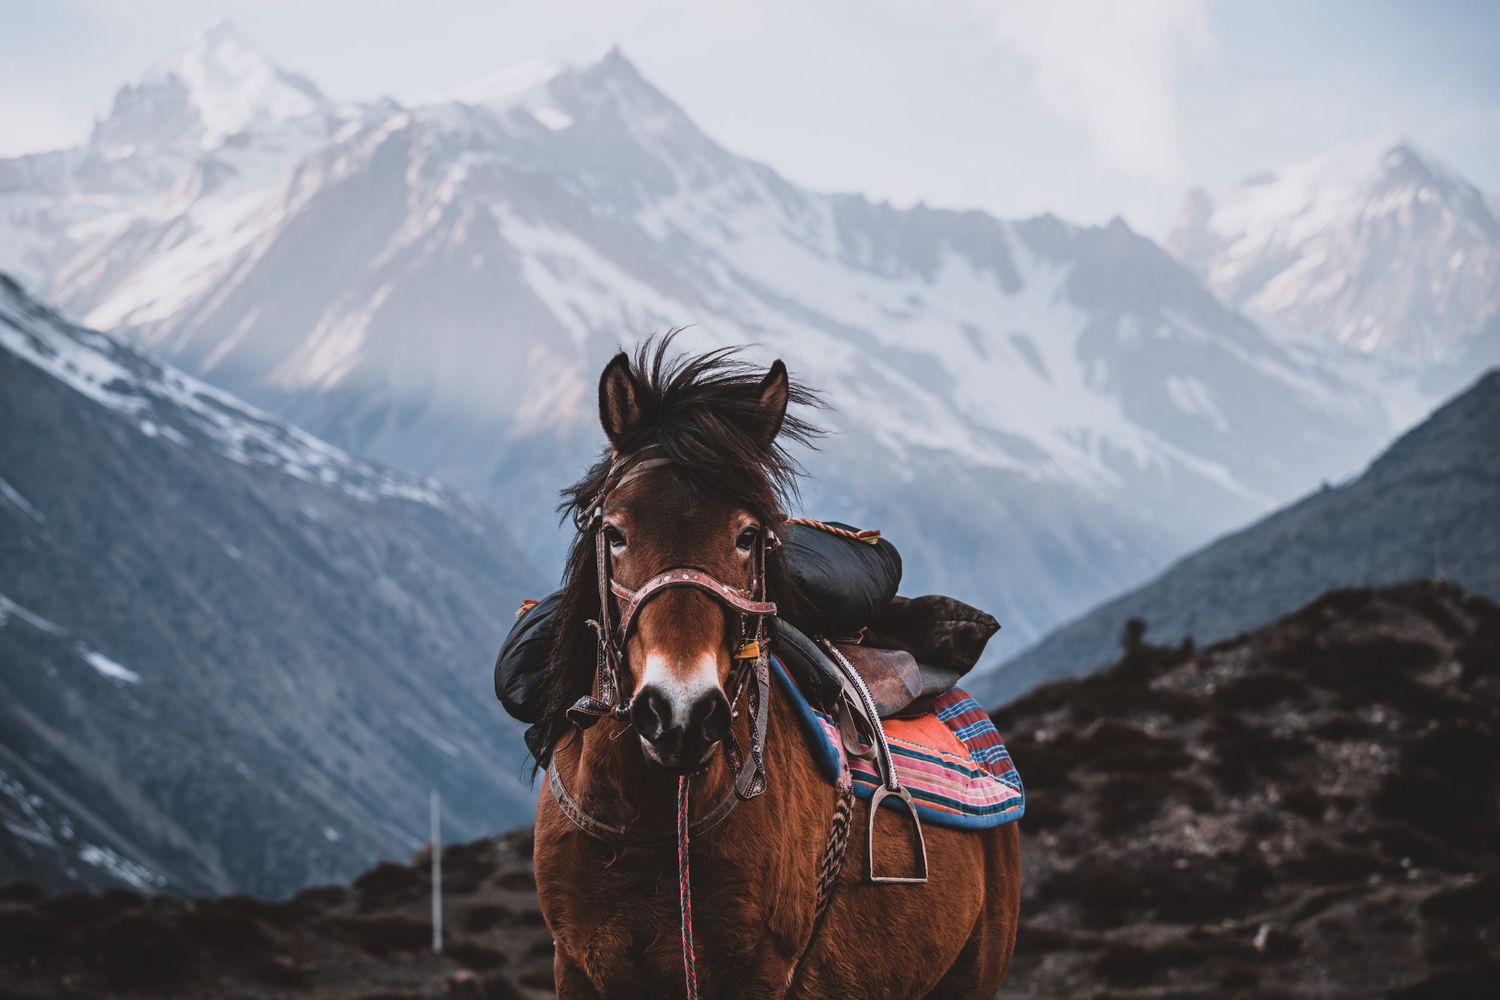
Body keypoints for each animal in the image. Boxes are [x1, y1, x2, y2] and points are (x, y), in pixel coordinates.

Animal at [530, 340, 1021, 998]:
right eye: (614, 532)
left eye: (747, 536)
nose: (680, 713)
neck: (647, 827)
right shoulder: (576, 966)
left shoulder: (757, 973)